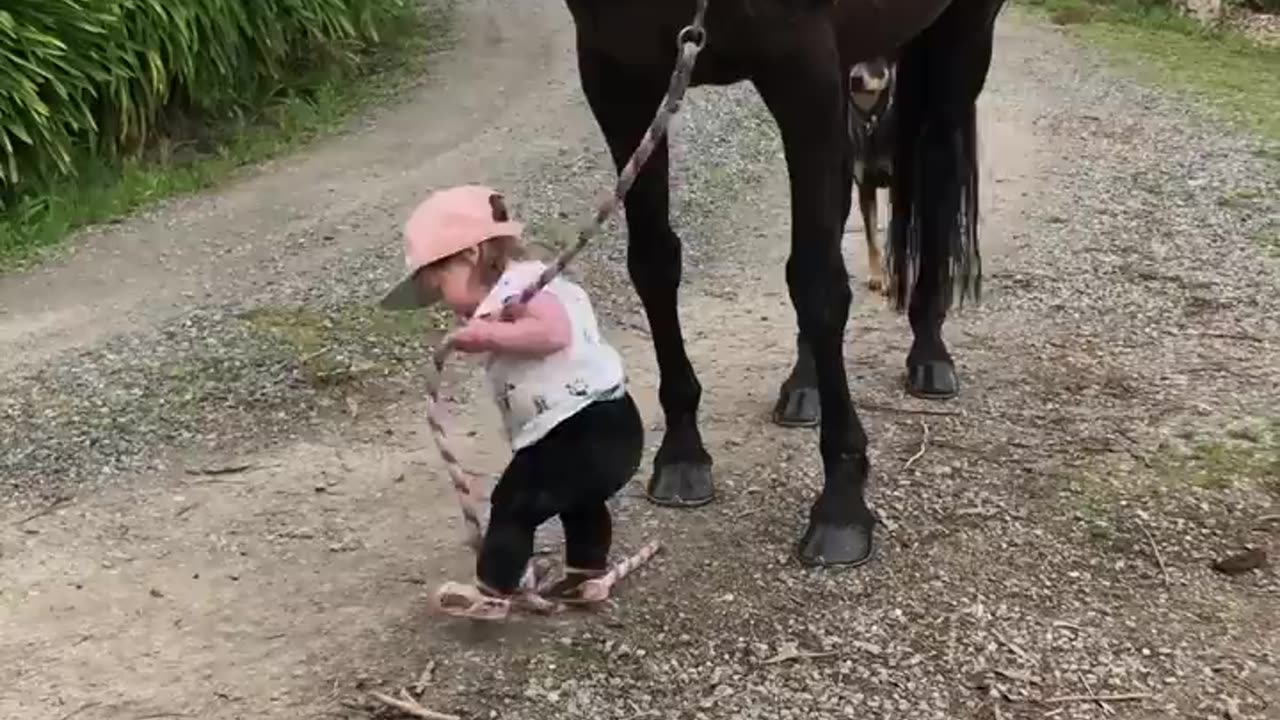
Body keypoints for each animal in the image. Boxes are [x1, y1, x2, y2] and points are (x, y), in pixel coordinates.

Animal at [565, 0, 1003, 566]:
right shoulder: (618, 73)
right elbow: (654, 263)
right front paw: (682, 453)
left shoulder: (803, 70)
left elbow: (817, 282)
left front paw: (841, 504)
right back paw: (805, 385)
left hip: (962, 40)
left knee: (939, 173)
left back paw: (929, 354)